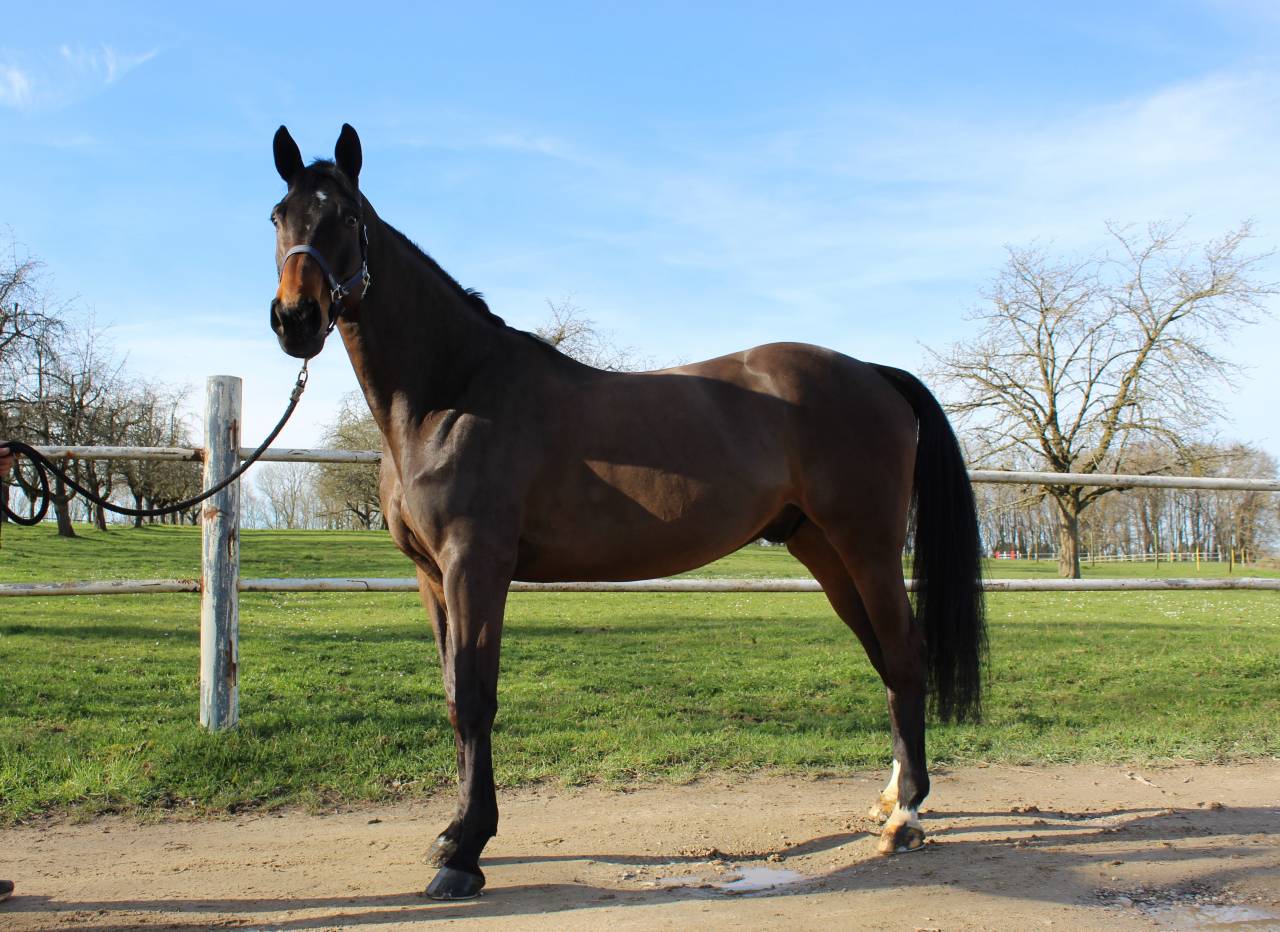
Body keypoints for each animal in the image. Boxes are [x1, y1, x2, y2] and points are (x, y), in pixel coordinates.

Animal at [268, 124, 986, 900]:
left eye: (346, 217)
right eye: (278, 216)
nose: (295, 320)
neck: (451, 393)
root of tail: (874, 373)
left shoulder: (474, 568)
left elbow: (476, 697)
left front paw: (466, 851)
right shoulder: (433, 577)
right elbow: (454, 695)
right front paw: (452, 835)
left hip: (869, 548)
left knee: (905, 656)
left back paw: (906, 817)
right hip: (823, 550)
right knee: (885, 658)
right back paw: (889, 799)